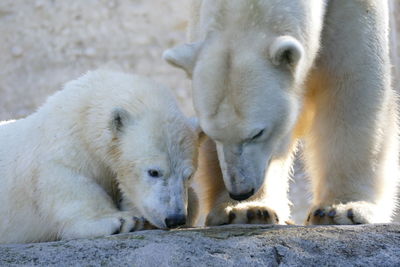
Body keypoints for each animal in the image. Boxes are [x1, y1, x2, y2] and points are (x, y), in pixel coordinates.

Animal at [164, 0, 398, 226]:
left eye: (257, 133)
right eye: (212, 135)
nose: (241, 191)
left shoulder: (355, 10)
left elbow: (351, 90)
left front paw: (342, 208)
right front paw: (245, 210)